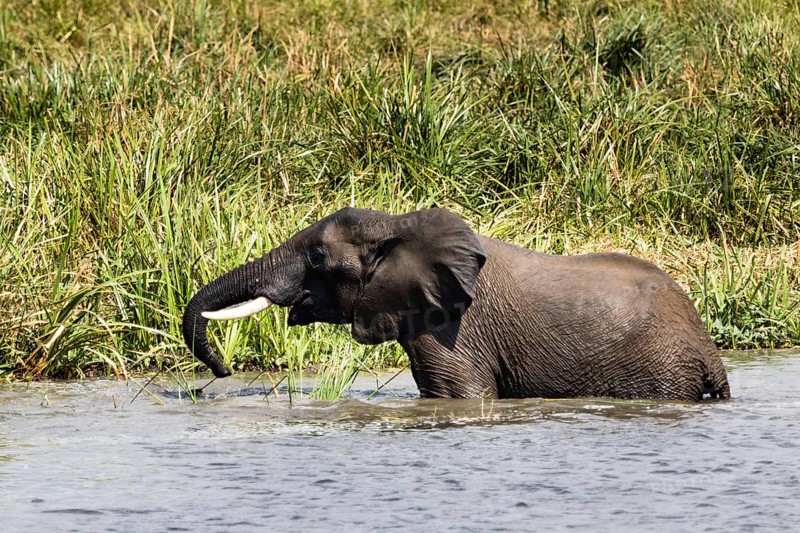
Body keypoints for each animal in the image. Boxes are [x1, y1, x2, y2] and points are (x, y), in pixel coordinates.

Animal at [182, 207, 730, 401]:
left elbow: (457, 394)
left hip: (658, 369)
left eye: (317, 256)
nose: (223, 372)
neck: (396, 227)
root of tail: (707, 348)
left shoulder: (453, 330)